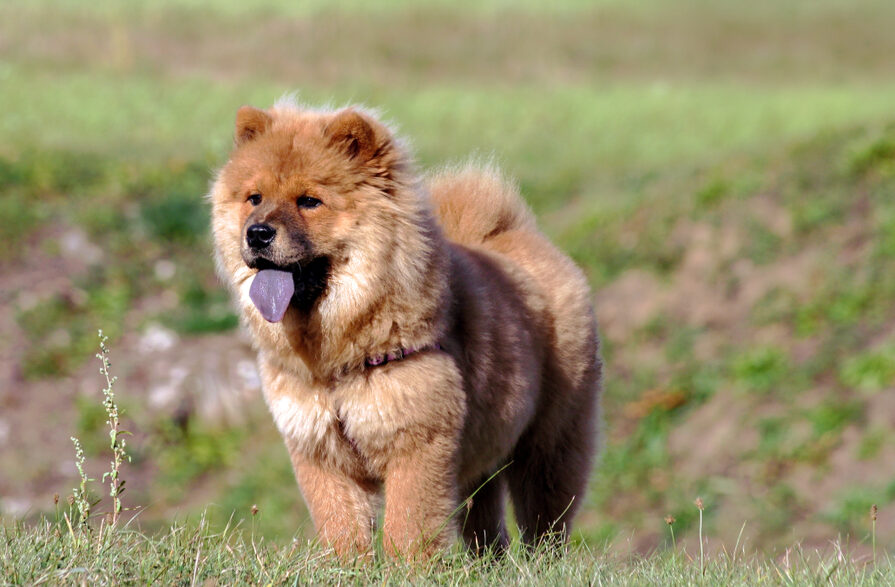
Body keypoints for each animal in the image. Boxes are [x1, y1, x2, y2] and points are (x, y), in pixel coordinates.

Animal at [210, 100, 600, 560]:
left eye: (309, 201)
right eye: (254, 198)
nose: (257, 232)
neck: (335, 357)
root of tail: (521, 236)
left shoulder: (416, 443)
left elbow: (407, 527)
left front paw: (405, 568)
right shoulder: (320, 452)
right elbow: (340, 526)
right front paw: (347, 567)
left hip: (549, 442)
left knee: (545, 519)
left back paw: (541, 563)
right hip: (481, 458)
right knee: (487, 524)